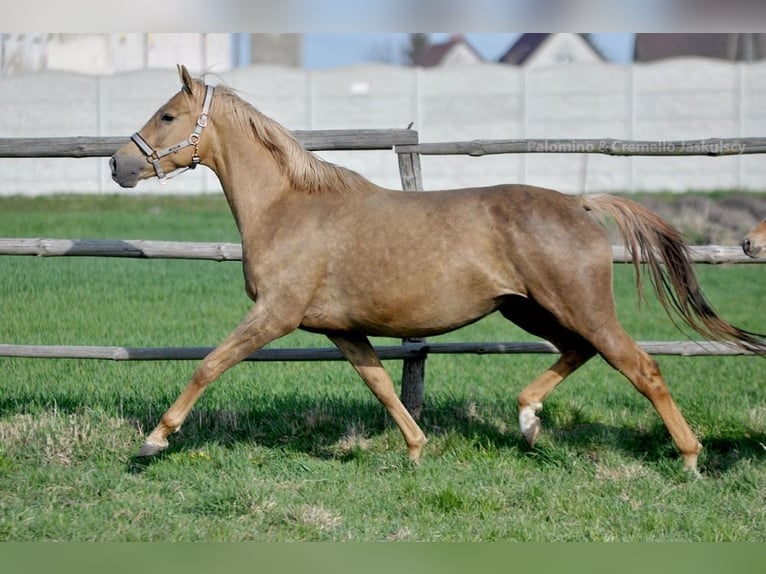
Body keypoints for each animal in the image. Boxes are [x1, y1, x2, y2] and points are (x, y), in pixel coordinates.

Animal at [110, 65, 766, 474]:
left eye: (166, 116)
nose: (119, 165)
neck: (288, 207)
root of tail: (580, 203)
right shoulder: (342, 329)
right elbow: (380, 383)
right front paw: (417, 449)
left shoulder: (275, 314)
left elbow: (210, 364)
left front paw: (153, 440)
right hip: (528, 308)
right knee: (577, 351)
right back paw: (527, 421)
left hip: (579, 305)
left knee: (641, 368)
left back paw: (689, 457)